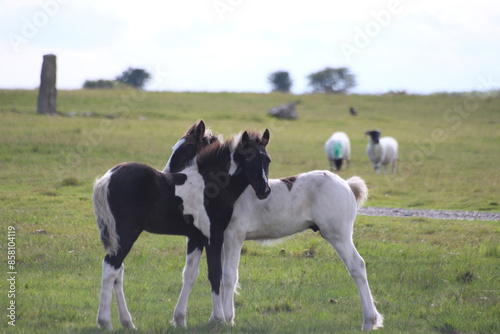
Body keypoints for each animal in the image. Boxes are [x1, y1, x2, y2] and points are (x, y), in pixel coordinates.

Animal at [94, 126, 274, 330]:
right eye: (248, 159)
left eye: (267, 160)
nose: (264, 190)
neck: (212, 183)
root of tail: (107, 178)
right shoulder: (213, 236)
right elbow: (215, 274)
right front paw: (219, 318)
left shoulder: (196, 238)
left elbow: (190, 274)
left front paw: (180, 319)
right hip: (126, 234)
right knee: (110, 267)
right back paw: (105, 322)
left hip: (118, 237)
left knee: (118, 271)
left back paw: (127, 322)